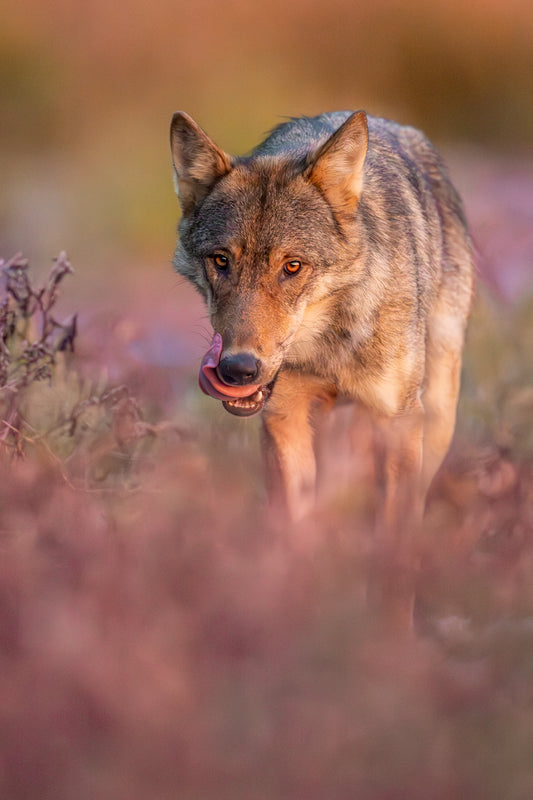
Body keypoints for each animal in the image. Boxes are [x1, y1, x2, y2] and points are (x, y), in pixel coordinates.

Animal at [170, 110, 474, 530]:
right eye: (221, 260)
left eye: (292, 266)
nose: (237, 369)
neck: (329, 345)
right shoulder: (284, 417)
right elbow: (294, 520)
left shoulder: (398, 420)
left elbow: (395, 520)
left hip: (436, 411)